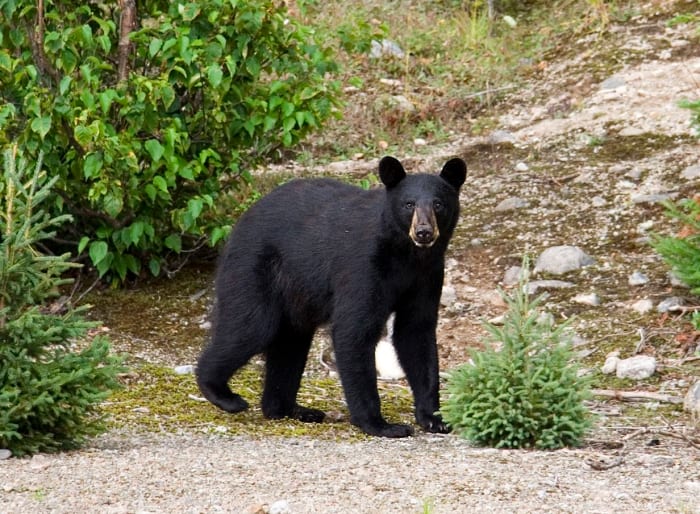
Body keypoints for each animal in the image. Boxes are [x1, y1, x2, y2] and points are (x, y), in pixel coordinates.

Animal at [196, 156, 464, 436]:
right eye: (408, 204)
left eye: (438, 204)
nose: (423, 231)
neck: (406, 255)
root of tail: (237, 226)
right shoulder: (363, 267)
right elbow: (354, 330)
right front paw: (380, 424)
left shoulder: (428, 274)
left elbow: (416, 332)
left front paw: (434, 418)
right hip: (255, 270)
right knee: (251, 326)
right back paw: (222, 394)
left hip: (295, 297)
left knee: (290, 343)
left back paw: (290, 409)